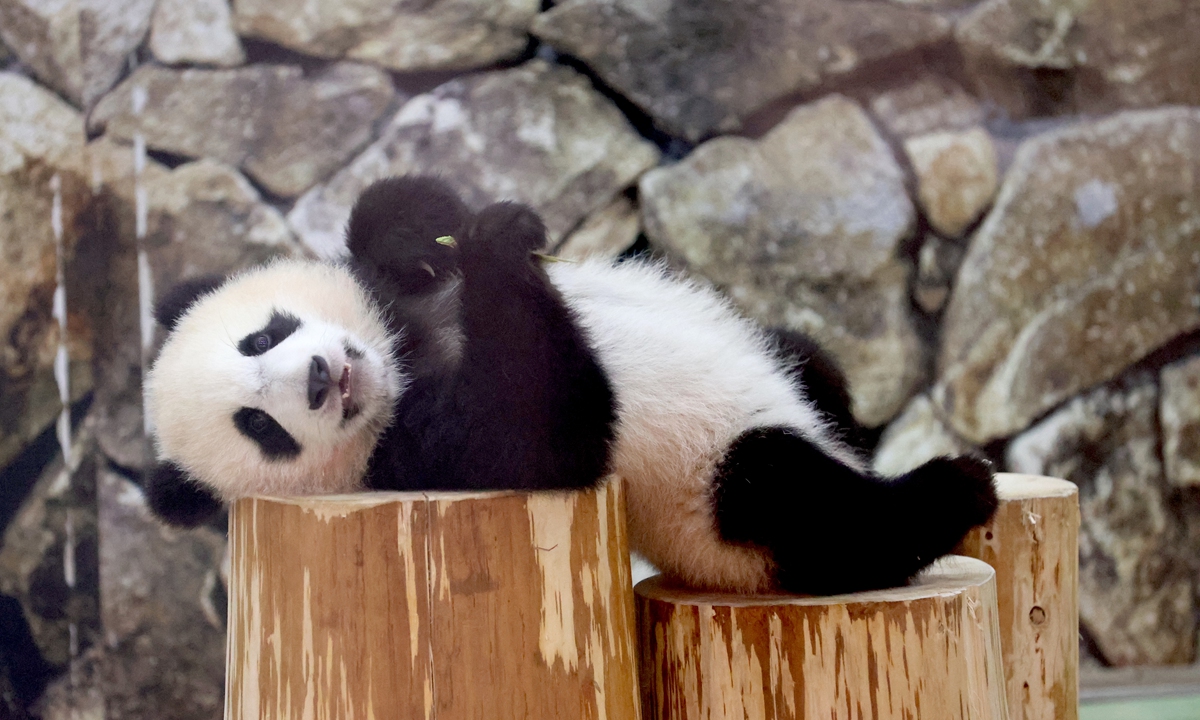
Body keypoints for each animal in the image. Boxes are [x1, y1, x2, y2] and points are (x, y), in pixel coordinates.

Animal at [144, 176, 997, 595]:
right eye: (260, 427)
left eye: (261, 336)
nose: (321, 378)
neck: (404, 358)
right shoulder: (413, 459)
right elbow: (549, 428)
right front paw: (493, 248)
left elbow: (390, 223)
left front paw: (433, 231)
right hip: (718, 504)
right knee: (806, 510)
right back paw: (953, 487)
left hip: (782, 364)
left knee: (808, 360)